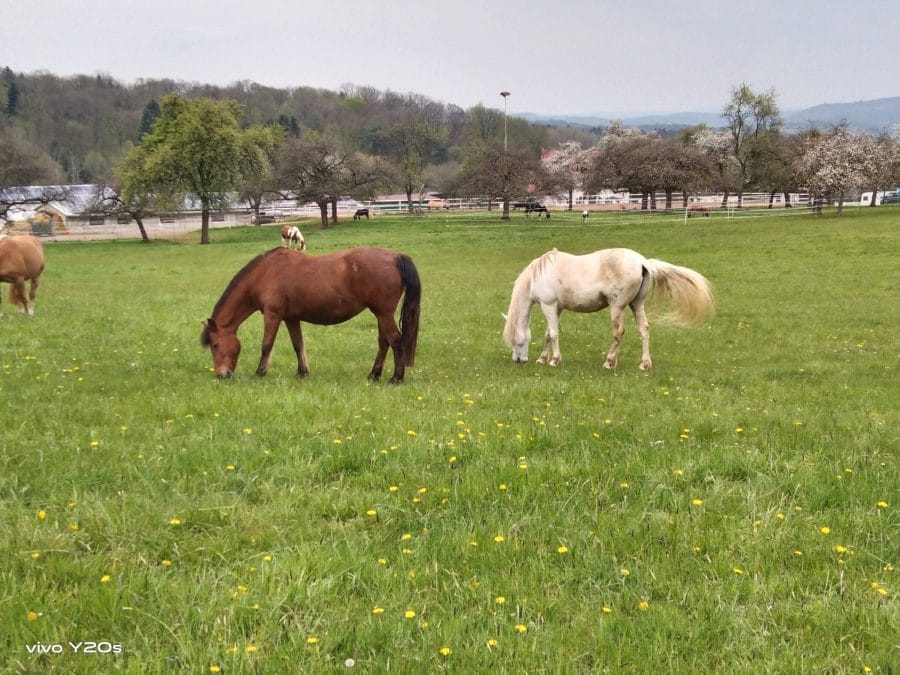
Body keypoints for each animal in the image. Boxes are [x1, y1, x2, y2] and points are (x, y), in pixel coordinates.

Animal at [200, 247, 422, 386]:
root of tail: (395, 256)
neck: (265, 273)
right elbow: (298, 345)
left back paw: (396, 378)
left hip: (383, 314)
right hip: (381, 314)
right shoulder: (291, 318)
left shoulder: (273, 315)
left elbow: (266, 345)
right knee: (384, 343)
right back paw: (374, 374)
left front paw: (260, 372)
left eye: (215, 345)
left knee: (396, 341)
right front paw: (302, 372)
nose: (222, 375)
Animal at [502, 247, 712, 370]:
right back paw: (644, 364)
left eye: (516, 341)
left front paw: (554, 360)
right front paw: (542, 359)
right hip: (637, 304)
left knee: (618, 332)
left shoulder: (549, 305)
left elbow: (553, 334)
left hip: (616, 307)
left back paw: (609, 362)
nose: (518, 360)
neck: (538, 275)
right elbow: (548, 334)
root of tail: (642, 262)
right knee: (644, 329)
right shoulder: (556, 309)